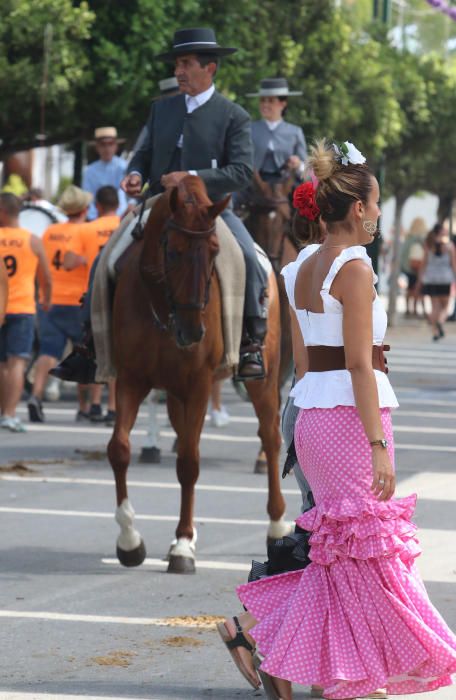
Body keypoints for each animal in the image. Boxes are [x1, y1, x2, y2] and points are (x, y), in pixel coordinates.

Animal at [106, 176, 288, 576]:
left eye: (214, 251)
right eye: (172, 252)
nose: (193, 332)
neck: (163, 307)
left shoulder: (200, 384)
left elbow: (189, 463)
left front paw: (183, 545)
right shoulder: (131, 380)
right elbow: (119, 449)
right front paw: (129, 541)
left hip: (262, 381)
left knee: (270, 437)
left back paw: (277, 525)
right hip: (175, 394)